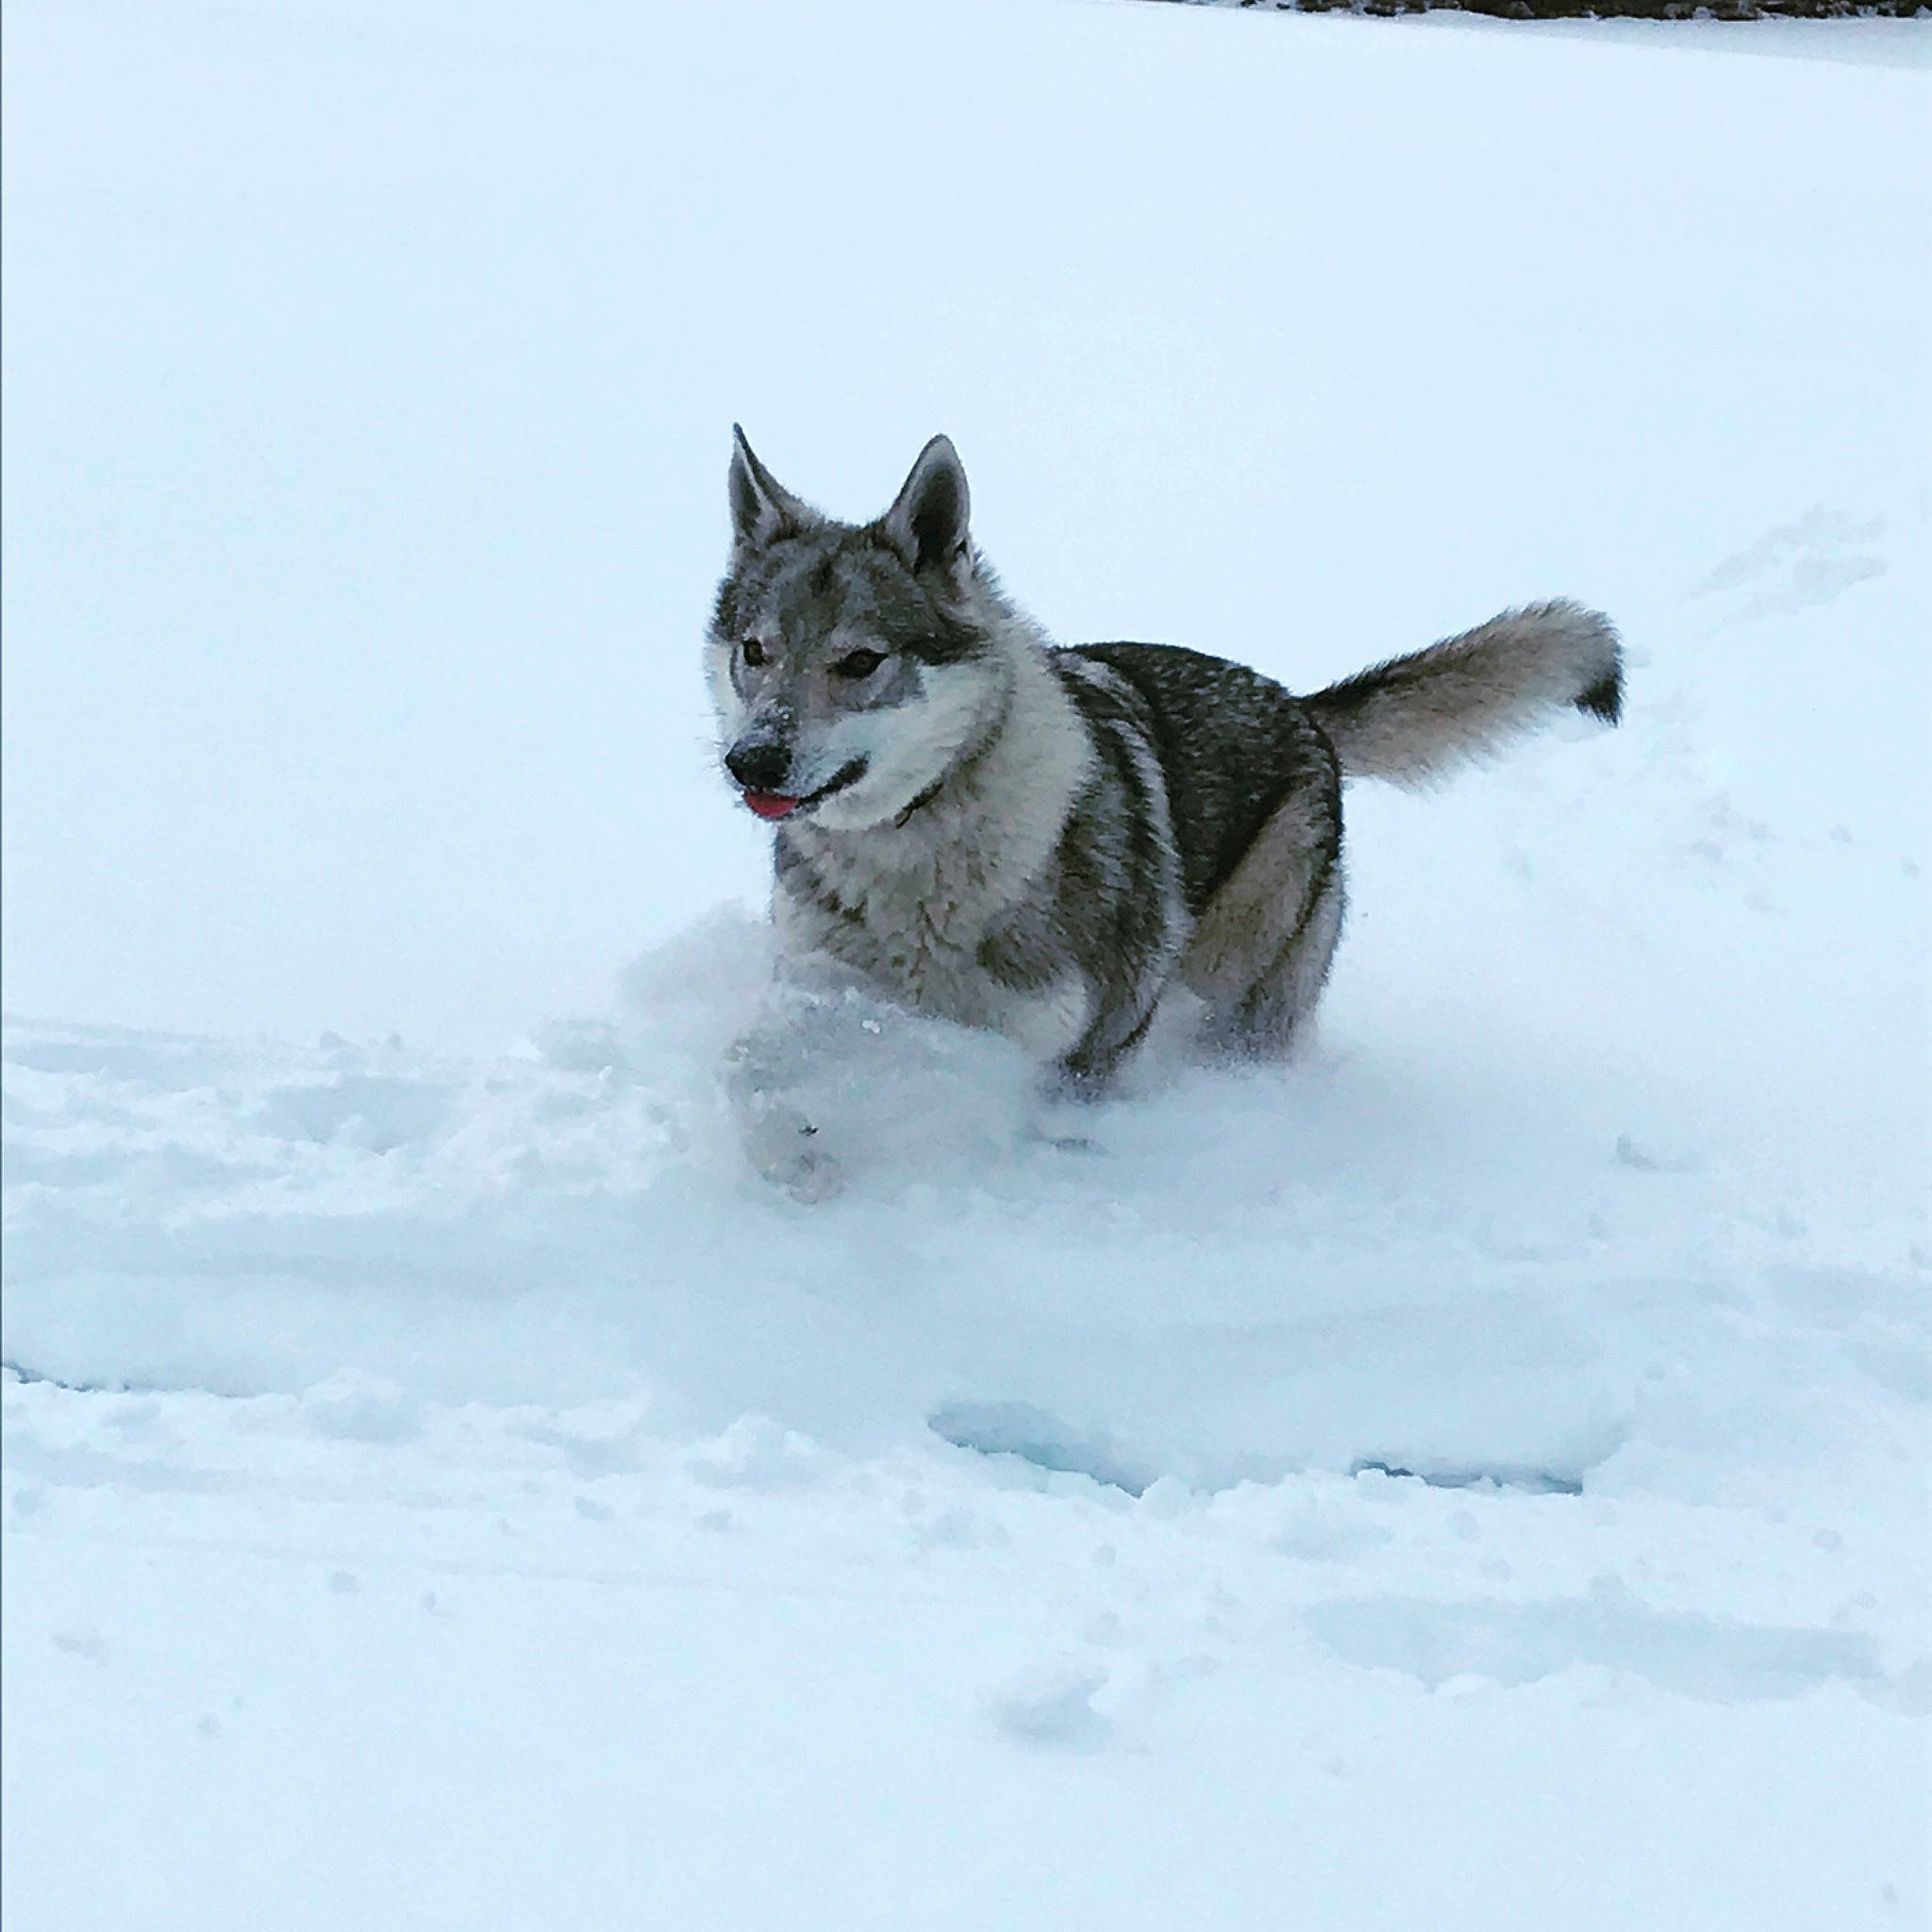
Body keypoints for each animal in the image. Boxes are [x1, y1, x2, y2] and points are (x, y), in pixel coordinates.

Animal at [709, 428, 1620, 1193]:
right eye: (755, 652)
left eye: (861, 661)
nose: (750, 760)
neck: (918, 852)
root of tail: (1299, 708)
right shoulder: (831, 988)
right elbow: (755, 1061)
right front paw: (790, 1152)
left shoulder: (1084, 1046)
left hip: (1235, 987)